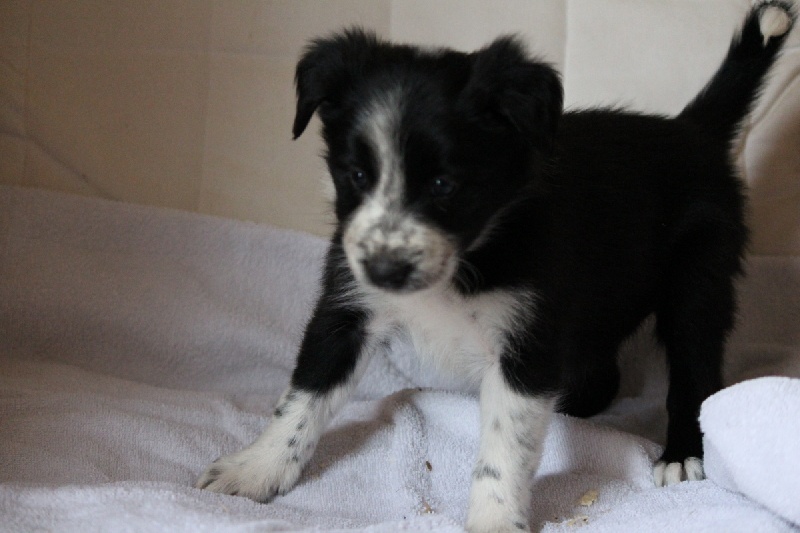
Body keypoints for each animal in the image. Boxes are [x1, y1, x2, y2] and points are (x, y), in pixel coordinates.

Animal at [197, 3, 794, 531]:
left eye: (445, 184)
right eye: (356, 175)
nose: (387, 271)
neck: (469, 257)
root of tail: (691, 130)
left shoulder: (527, 339)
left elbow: (506, 445)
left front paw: (495, 520)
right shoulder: (347, 306)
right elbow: (302, 398)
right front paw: (255, 470)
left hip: (698, 281)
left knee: (696, 371)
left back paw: (681, 455)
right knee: (603, 372)